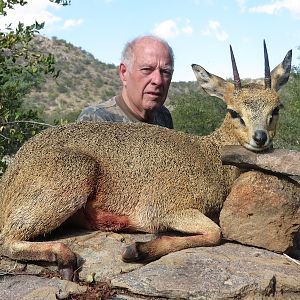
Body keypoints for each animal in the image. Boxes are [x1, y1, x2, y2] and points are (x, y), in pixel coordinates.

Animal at [0, 41, 292, 280]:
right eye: (233, 111)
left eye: (276, 108)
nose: (260, 137)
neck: (210, 156)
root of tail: (10, 176)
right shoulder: (164, 208)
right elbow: (214, 232)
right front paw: (137, 250)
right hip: (73, 178)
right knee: (7, 239)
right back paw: (65, 258)